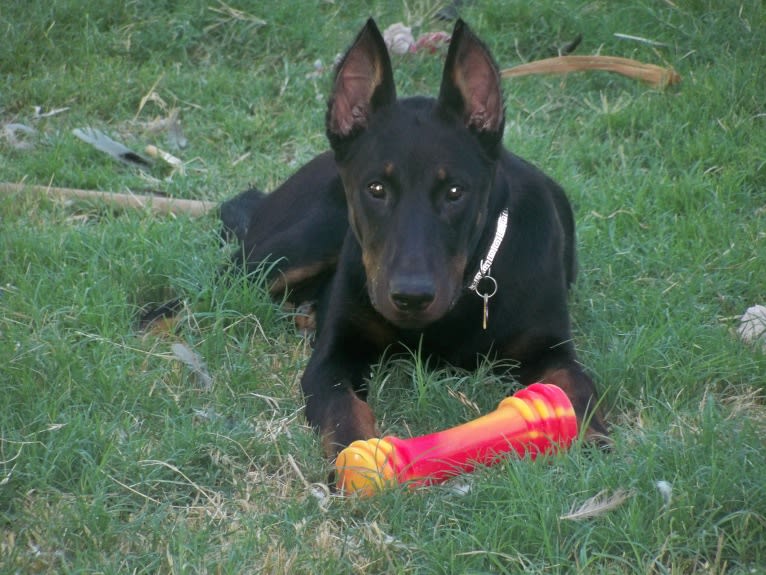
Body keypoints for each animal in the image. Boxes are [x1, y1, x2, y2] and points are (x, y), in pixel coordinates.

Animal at [219, 18, 608, 462]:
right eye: (376, 188)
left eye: (455, 192)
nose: (411, 297)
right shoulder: (334, 356)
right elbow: (343, 410)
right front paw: (359, 459)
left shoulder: (550, 347)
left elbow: (575, 386)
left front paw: (593, 439)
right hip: (290, 248)